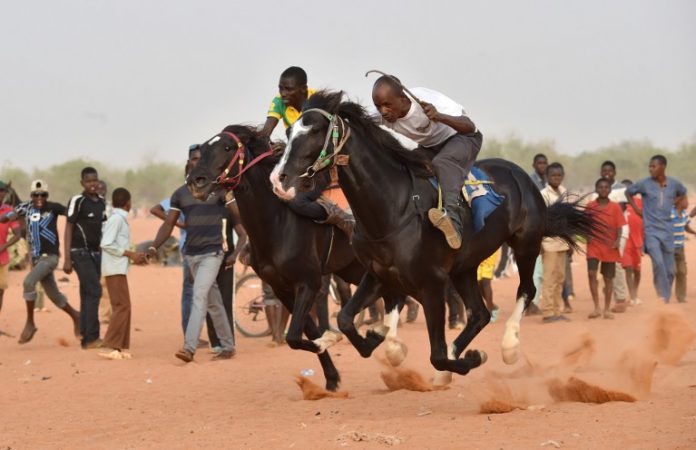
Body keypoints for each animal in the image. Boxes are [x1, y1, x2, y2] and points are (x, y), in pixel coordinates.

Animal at [188, 125, 406, 392]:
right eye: (204, 147)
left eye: (227, 147)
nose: (195, 182)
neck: (278, 223)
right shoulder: (282, 288)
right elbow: (306, 333)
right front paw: (331, 377)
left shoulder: (308, 282)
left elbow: (295, 335)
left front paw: (332, 338)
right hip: (356, 269)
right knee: (394, 297)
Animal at [272, 90, 600, 384]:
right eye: (288, 131)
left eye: (315, 131)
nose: (279, 179)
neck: (393, 208)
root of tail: (522, 176)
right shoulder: (378, 274)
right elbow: (345, 320)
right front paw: (371, 337)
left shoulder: (431, 282)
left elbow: (438, 356)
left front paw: (471, 359)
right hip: (465, 267)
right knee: (479, 313)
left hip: (525, 243)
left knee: (526, 290)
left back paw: (508, 347)